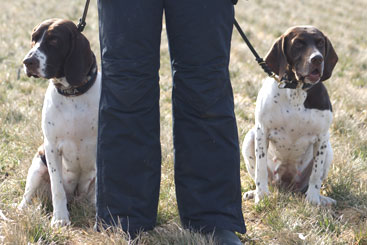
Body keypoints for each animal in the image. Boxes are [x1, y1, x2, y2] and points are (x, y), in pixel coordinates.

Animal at [18, 18, 100, 226]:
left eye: (54, 41)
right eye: (34, 38)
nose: (27, 61)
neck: (73, 95)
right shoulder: (51, 148)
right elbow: (58, 189)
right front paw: (60, 219)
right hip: (38, 165)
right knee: (26, 197)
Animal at [242, 25, 340, 205]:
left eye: (320, 43)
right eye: (298, 43)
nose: (317, 59)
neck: (297, 90)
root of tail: (287, 186)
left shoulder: (322, 137)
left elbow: (316, 174)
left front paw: (313, 200)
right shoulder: (262, 131)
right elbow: (260, 169)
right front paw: (261, 195)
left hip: (328, 149)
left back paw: (323, 199)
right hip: (250, 138)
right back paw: (254, 192)